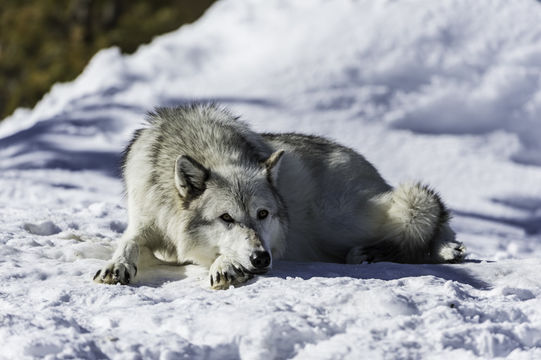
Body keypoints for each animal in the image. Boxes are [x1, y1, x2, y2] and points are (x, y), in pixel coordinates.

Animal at [93, 103, 464, 290]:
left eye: (263, 214)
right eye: (226, 218)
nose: (261, 259)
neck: (206, 148)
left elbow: (216, 255)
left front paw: (226, 266)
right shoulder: (145, 219)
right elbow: (127, 242)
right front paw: (116, 265)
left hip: (342, 221)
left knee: (425, 207)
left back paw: (447, 249)